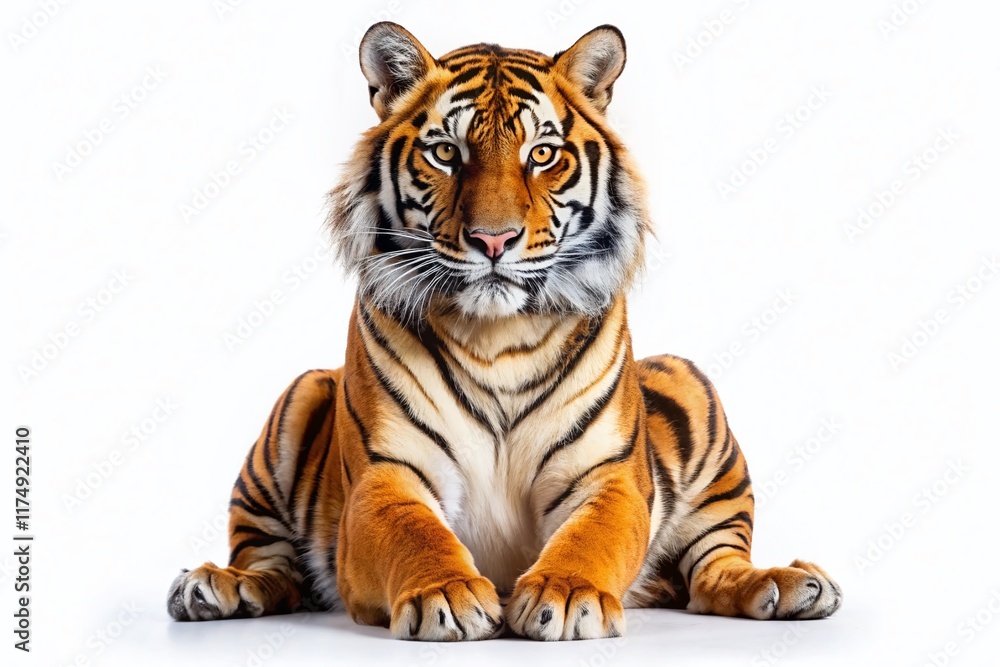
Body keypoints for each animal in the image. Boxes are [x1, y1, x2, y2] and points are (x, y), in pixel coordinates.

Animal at [167, 22, 842, 641]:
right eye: (446, 153)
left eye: (541, 155)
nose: (493, 240)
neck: (498, 337)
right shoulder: (386, 474)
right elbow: (414, 532)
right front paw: (448, 593)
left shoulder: (610, 475)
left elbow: (592, 537)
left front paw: (566, 594)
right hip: (299, 396)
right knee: (272, 565)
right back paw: (218, 586)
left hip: (690, 387)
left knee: (711, 568)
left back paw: (788, 585)